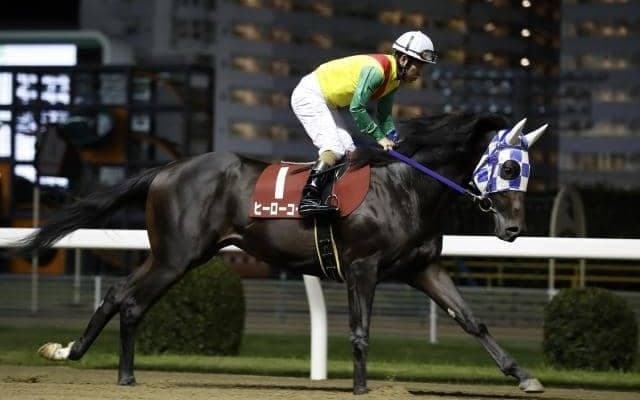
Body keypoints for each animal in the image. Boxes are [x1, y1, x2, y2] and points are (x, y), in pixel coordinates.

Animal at [23, 112, 547, 395]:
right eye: (507, 167)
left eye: (526, 171)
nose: (514, 229)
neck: (407, 186)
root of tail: (168, 169)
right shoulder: (363, 267)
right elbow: (360, 331)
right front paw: (361, 387)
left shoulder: (422, 268)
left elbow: (472, 320)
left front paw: (523, 375)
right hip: (178, 254)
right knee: (131, 300)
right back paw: (109, 368)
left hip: (177, 253)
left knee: (119, 295)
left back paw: (85, 358)